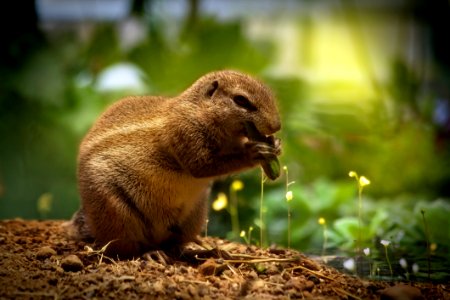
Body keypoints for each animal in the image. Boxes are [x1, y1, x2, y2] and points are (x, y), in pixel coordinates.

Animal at [66, 70, 282, 258]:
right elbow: (203, 165)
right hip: (115, 211)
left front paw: (276, 144)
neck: (200, 111)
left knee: (173, 245)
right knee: (126, 249)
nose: (276, 126)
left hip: (194, 216)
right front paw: (254, 152)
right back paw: (149, 254)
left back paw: (204, 251)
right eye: (241, 100)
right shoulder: (184, 133)